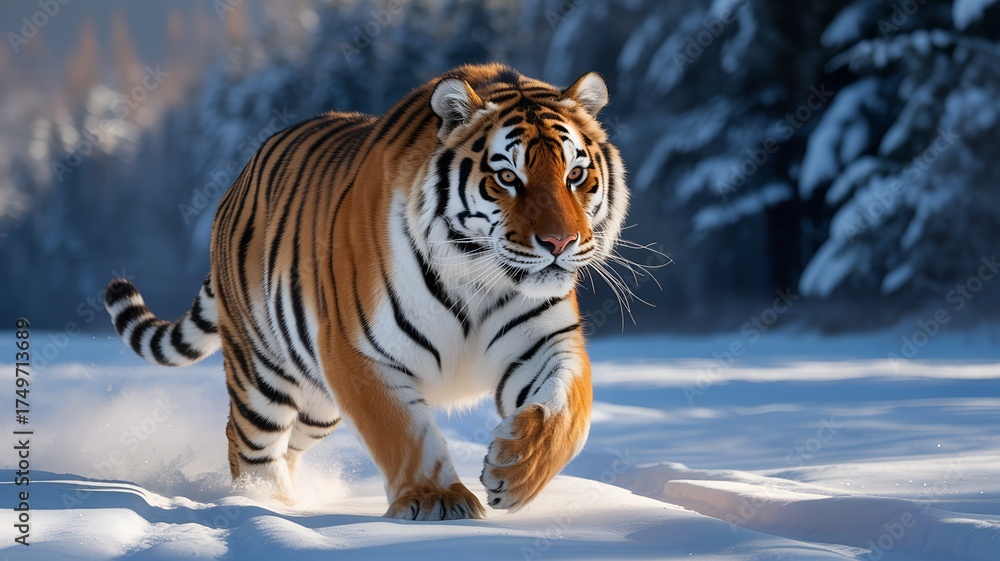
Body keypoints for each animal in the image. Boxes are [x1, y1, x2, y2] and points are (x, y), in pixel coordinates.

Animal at [104, 63, 628, 520]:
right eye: (506, 177)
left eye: (575, 175)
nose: (560, 243)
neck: (481, 278)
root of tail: (237, 182)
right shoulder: (357, 353)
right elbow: (403, 432)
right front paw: (436, 500)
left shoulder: (545, 342)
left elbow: (567, 412)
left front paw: (514, 471)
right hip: (262, 371)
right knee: (248, 440)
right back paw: (263, 505)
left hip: (317, 404)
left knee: (289, 444)